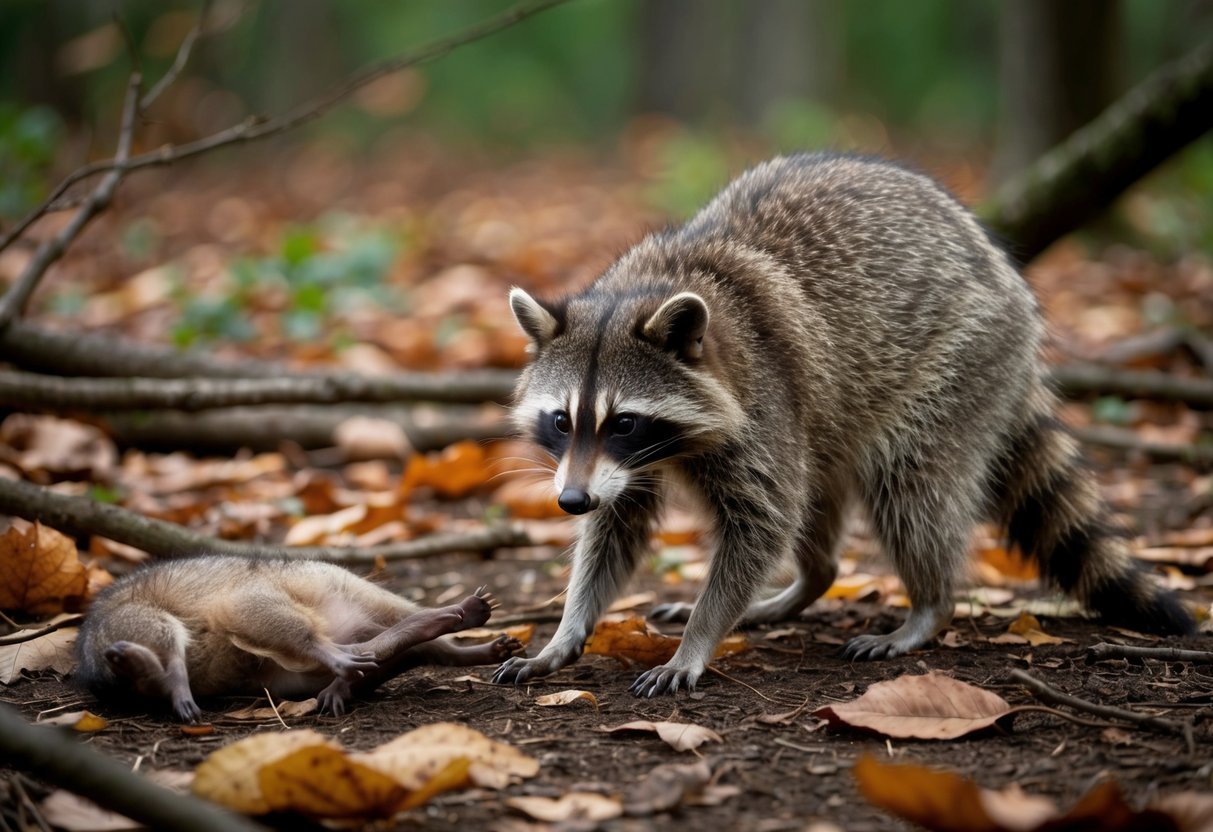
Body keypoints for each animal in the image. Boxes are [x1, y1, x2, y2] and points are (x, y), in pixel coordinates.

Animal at [493, 152, 1194, 697]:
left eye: (625, 423)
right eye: (561, 420)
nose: (569, 500)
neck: (652, 283)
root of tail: (1004, 273)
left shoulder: (763, 401)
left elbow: (763, 524)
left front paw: (697, 639)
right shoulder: (613, 469)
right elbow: (616, 527)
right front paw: (568, 628)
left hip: (962, 360)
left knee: (910, 490)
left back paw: (929, 604)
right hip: (836, 414)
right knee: (821, 488)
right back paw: (810, 581)